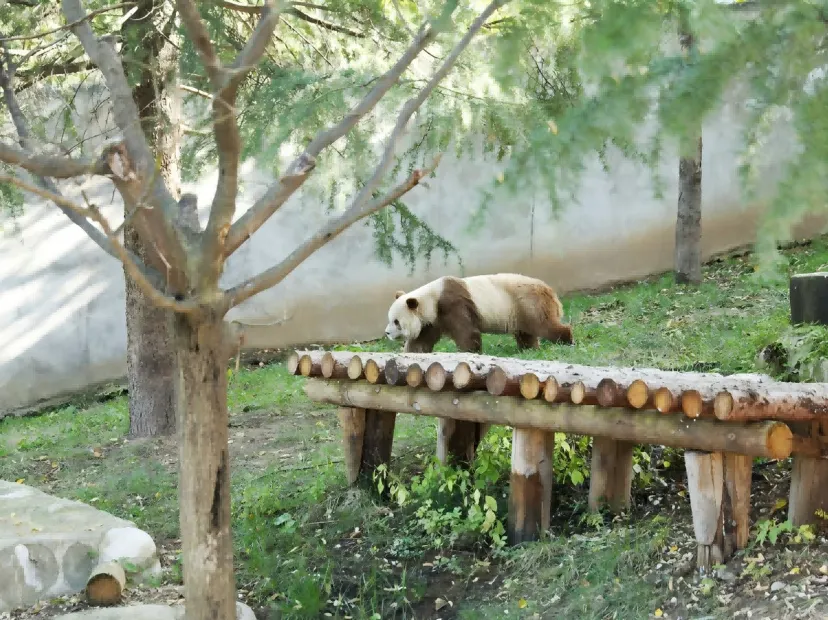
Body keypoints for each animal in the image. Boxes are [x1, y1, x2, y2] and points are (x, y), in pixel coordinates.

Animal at [384, 273, 573, 353]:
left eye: (396, 321)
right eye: (390, 319)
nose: (387, 333)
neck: (430, 298)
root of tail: (549, 290)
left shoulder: (452, 303)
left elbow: (466, 332)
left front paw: (470, 352)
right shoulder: (432, 320)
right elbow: (421, 340)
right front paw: (412, 353)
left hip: (528, 303)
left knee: (544, 325)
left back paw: (567, 340)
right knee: (526, 332)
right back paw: (528, 349)